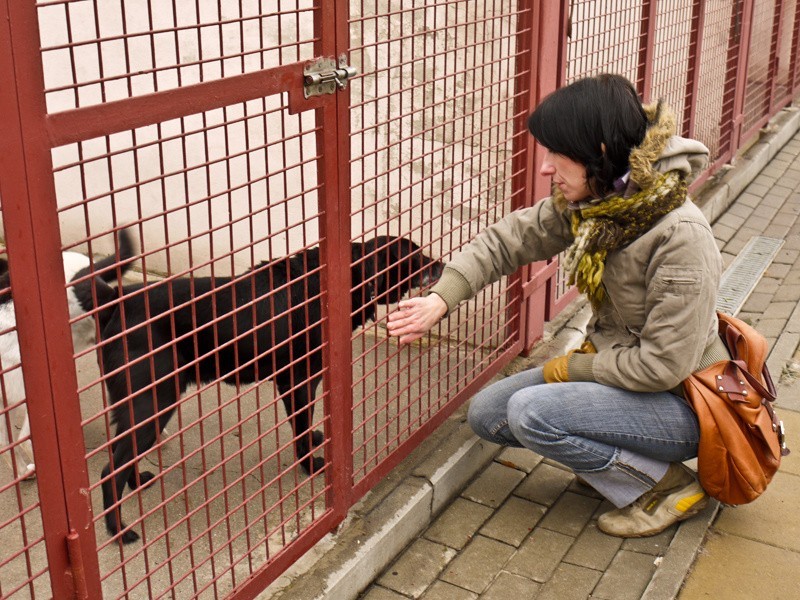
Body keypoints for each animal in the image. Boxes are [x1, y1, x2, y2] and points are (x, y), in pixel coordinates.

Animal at [75, 233, 444, 544]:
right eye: (415, 255)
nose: (441, 263)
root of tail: (117, 300)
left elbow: (304, 424)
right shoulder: (298, 379)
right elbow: (301, 428)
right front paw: (311, 465)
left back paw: (137, 482)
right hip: (155, 400)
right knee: (109, 470)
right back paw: (119, 531)